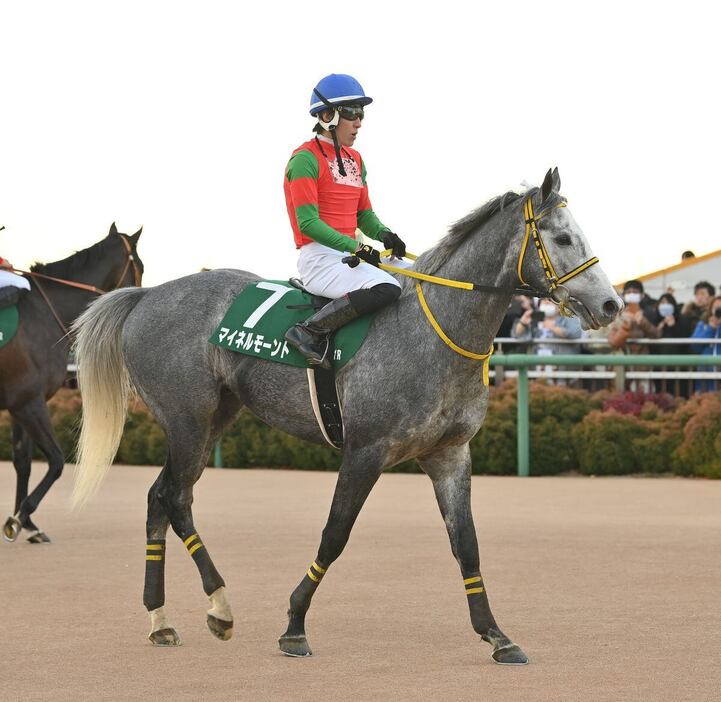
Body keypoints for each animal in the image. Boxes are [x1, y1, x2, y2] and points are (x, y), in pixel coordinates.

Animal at [74, 169, 624, 664]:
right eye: (562, 236)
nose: (611, 304)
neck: (434, 330)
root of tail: (147, 294)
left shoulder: (449, 454)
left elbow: (466, 543)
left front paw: (497, 635)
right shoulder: (366, 452)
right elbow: (334, 534)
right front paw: (294, 625)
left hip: (212, 419)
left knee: (162, 497)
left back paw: (162, 619)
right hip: (188, 419)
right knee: (174, 498)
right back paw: (218, 607)